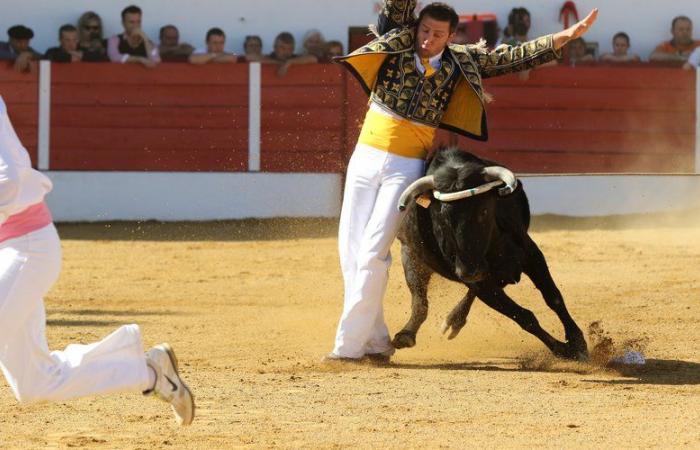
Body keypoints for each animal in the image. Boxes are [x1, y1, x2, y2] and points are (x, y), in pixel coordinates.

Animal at [394, 149, 584, 360]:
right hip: (410, 257)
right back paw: (406, 335)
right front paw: (562, 349)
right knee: (419, 300)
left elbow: (553, 297)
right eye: (441, 217)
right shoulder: (479, 283)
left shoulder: (531, 254)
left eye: (483, 212)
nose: (470, 271)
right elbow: (524, 316)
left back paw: (453, 320)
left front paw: (577, 342)